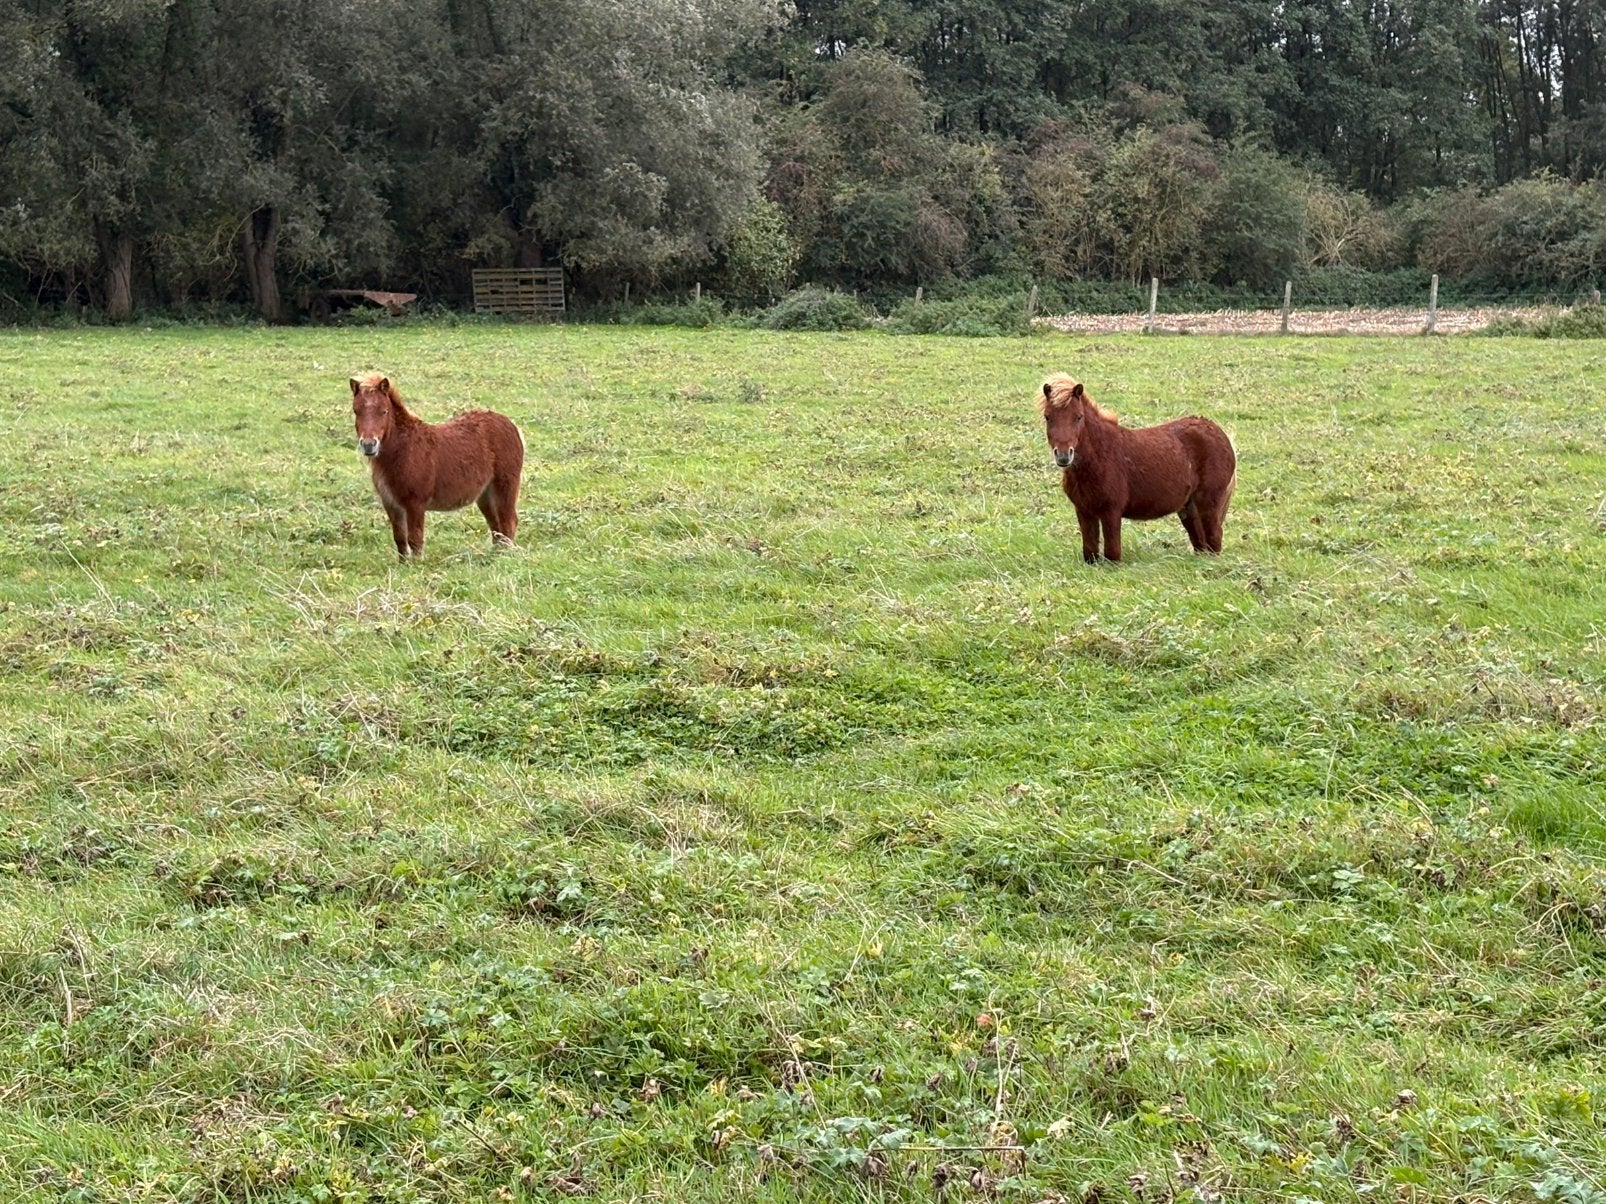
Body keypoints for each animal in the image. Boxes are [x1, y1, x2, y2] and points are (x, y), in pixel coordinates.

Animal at [349, 371, 525, 558]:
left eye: (383, 411)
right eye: (356, 411)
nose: (369, 445)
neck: (404, 449)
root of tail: (511, 425)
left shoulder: (415, 504)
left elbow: (415, 540)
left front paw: (417, 564)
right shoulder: (391, 504)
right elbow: (400, 540)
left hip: (505, 485)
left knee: (508, 522)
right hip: (485, 493)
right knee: (496, 527)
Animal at [1039, 373, 1236, 564]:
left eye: (1078, 416)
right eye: (1048, 417)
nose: (1064, 455)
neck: (1099, 457)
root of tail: (1217, 431)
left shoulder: (1111, 511)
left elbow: (1112, 554)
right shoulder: (1084, 511)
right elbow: (1090, 553)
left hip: (1209, 503)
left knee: (1214, 540)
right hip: (1189, 507)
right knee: (1201, 543)